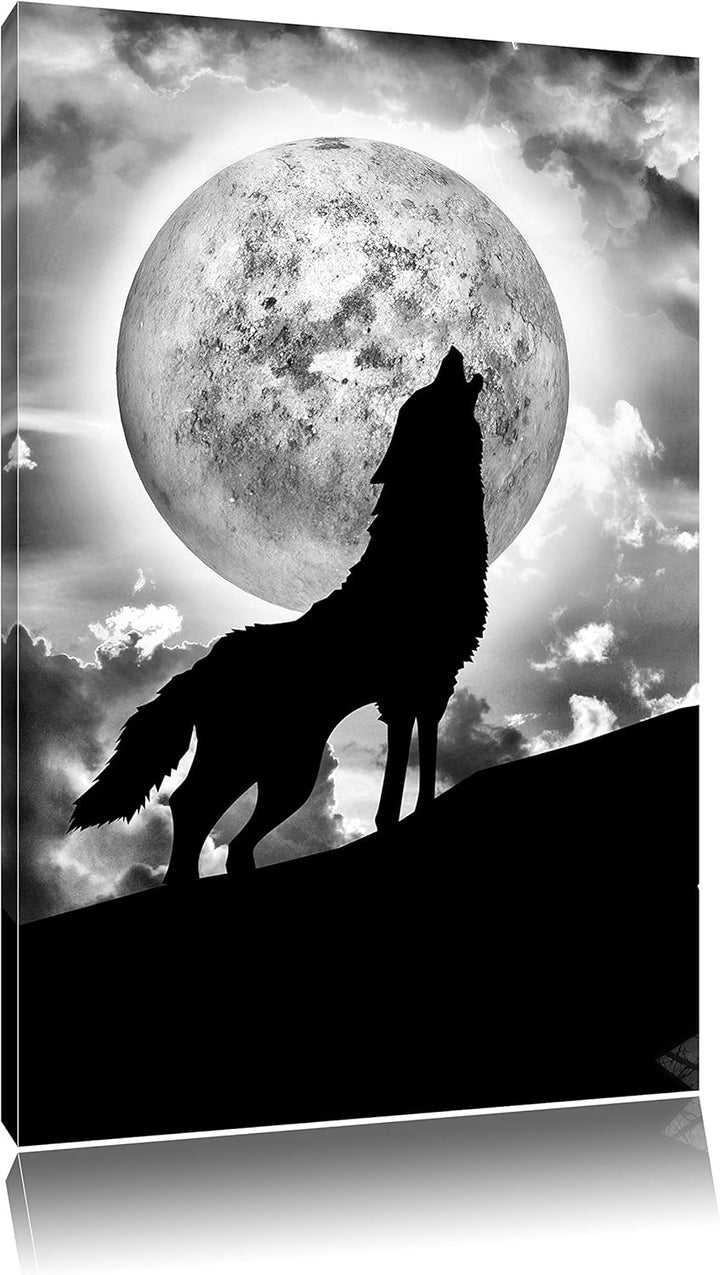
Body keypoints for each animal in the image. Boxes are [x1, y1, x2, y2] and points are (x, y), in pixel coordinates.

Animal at [69, 347, 488, 884]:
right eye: (427, 394)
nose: (452, 352)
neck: (427, 544)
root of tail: (200, 667)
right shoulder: (419, 683)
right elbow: (408, 767)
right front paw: (407, 821)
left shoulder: (420, 687)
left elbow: (415, 759)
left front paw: (406, 819)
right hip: (269, 765)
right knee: (191, 806)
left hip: (284, 772)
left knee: (224, 834)